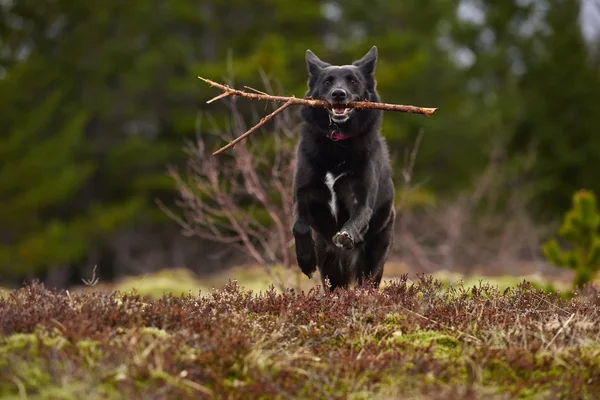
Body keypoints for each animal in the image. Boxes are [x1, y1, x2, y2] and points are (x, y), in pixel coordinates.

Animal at [292, 46, 396, 290]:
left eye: (353, 81)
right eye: (327, 81)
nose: (339, 94)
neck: (337, 145)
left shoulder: (361, 200)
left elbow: (355, 220)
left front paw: (346, 235)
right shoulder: (303, 195)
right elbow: (298, 226)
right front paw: (305, 260)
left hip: (372, 262)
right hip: (330, 268)